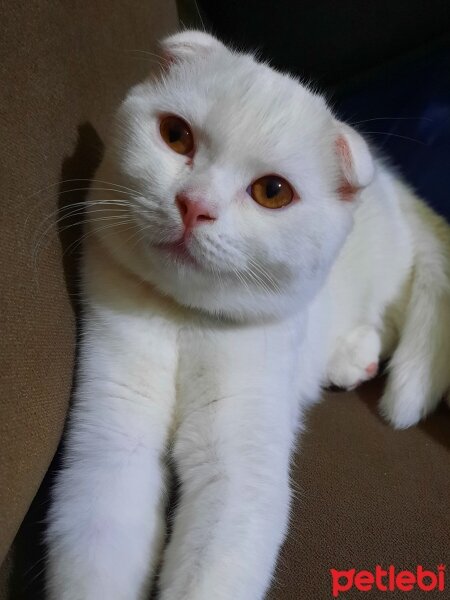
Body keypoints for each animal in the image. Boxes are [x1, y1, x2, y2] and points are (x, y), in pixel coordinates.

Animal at [46, 31, 450, 600]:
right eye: (176, 136)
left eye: (271, 192)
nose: (194, 205)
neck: (184, 321)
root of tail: (395, 186)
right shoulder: (111, 438)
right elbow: (98, 554)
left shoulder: (241, 464)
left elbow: (213, 571)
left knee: (388, 314)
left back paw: (354, 357)